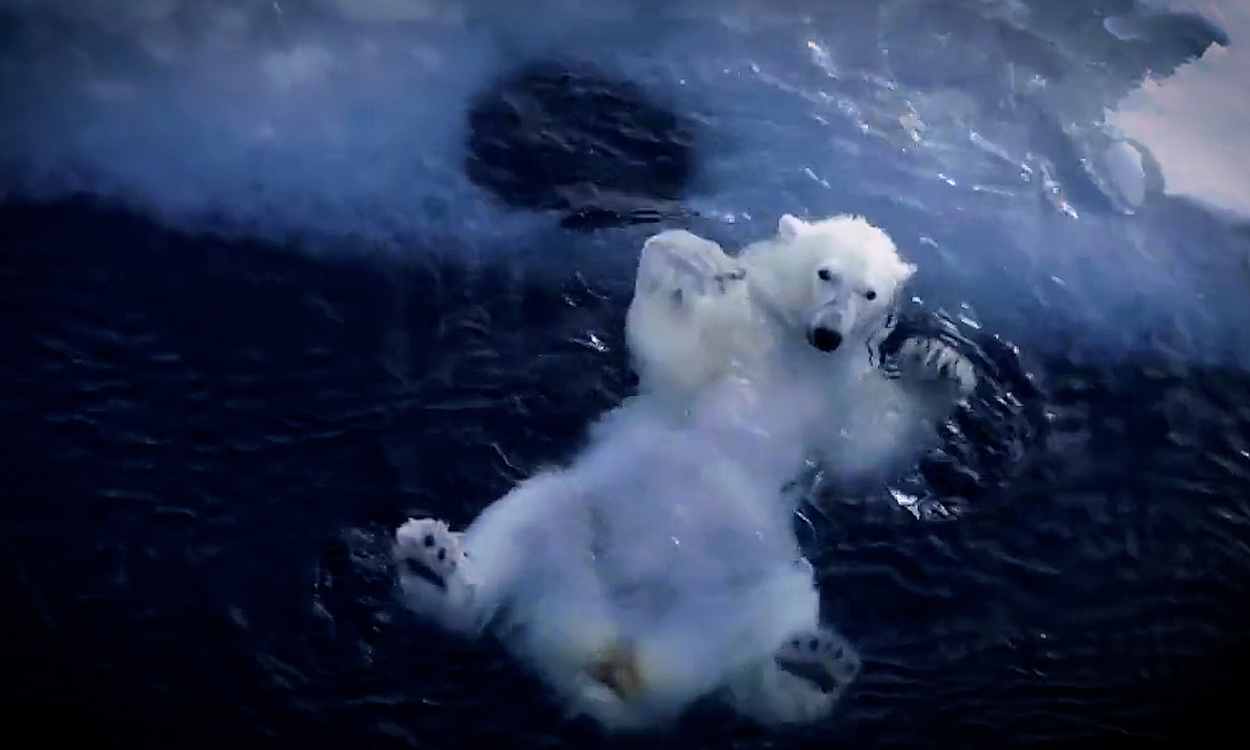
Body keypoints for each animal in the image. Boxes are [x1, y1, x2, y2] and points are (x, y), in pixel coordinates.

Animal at [624, 213, 976, 483]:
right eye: (825, 273)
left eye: (870, 293)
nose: (827, 335)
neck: (796, 345)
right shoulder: (733, 331)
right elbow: (672, 354)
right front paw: (690, 254)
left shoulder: (841, 390)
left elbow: (860, 452)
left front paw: (938, 360)